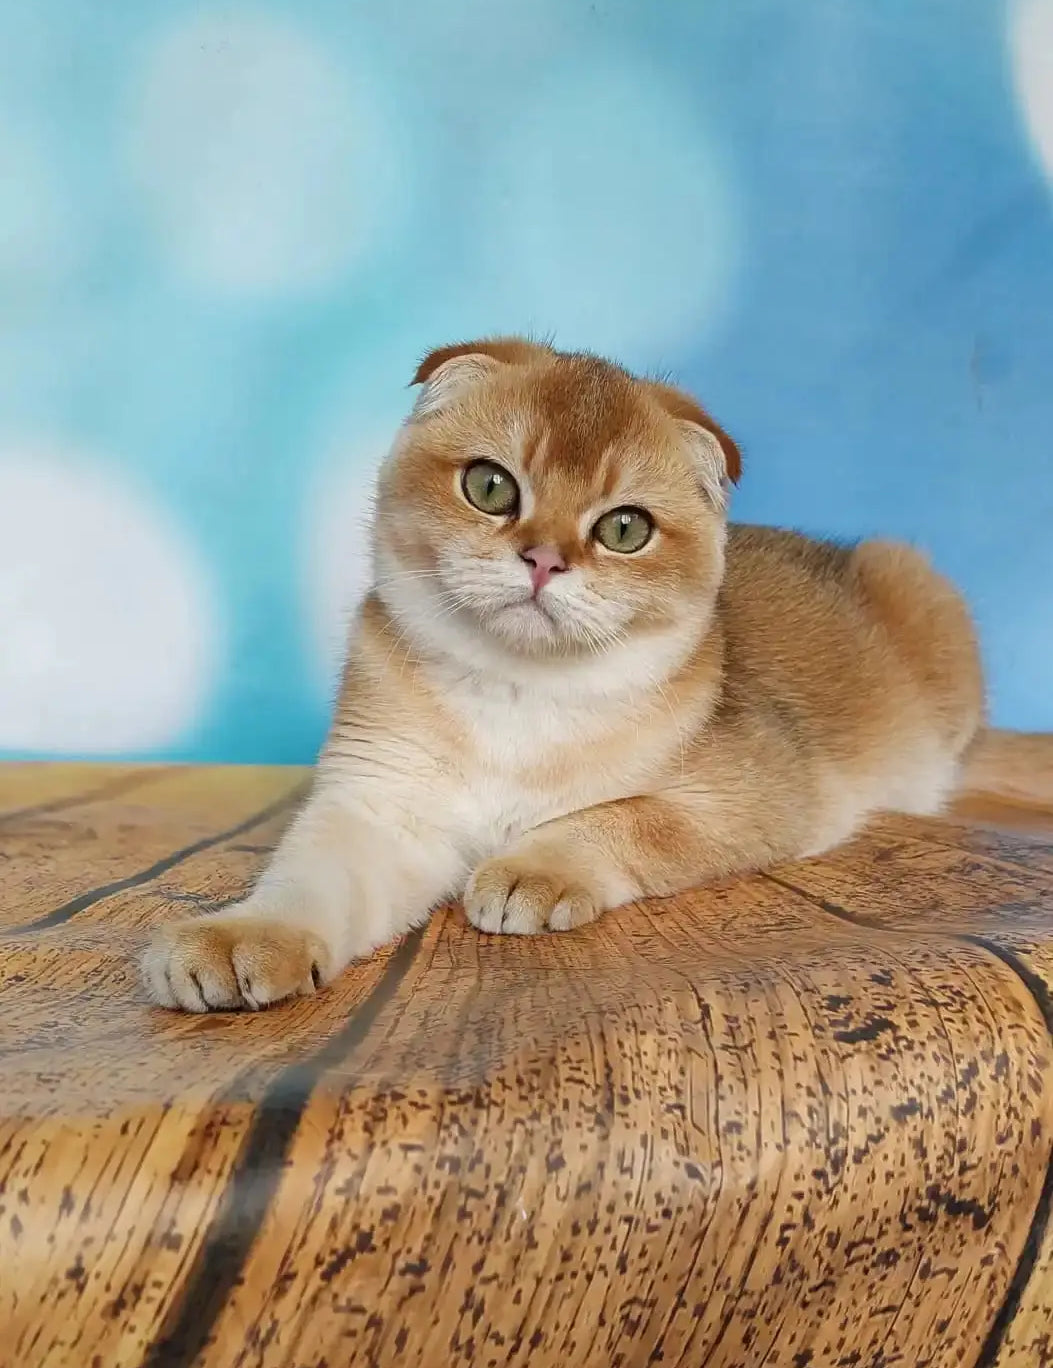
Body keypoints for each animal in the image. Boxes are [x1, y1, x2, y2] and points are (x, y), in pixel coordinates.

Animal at [141, 336, 995, 1012]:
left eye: (623, 529)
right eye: (489, 486)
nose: (544, 560)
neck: (516, 696)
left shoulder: (765, 796)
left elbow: (625, 816)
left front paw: (533, 868)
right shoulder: (380, 804)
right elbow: (307, 880)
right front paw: (243, 936)